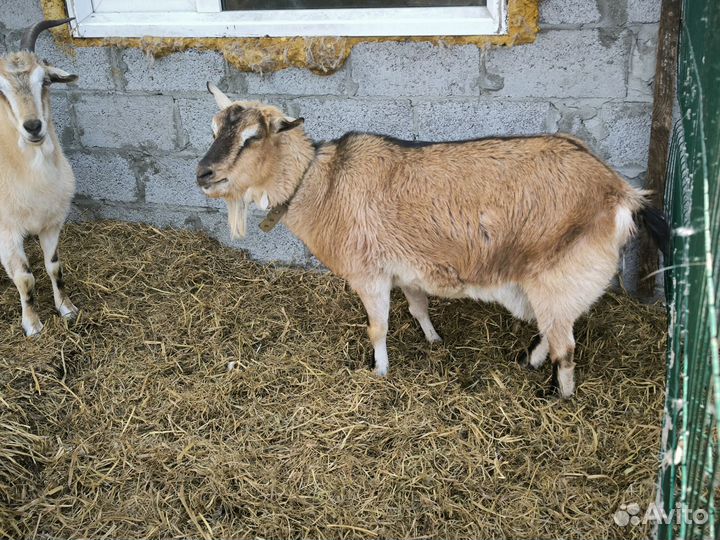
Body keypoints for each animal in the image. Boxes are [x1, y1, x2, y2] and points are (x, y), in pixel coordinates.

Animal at [196, 84, 669, 398]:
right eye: (214, 128)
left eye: (252, 137)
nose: (203, 174)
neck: (321, 183)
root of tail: (620, 192)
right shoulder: (405, 270)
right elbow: (418, 307)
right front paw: (434, 339)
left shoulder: (369, 273)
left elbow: (377, 327)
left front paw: (380, 372)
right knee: (552, 331)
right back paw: (527, 361)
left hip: (558, 274)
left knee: (565, 346)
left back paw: (560, 393)